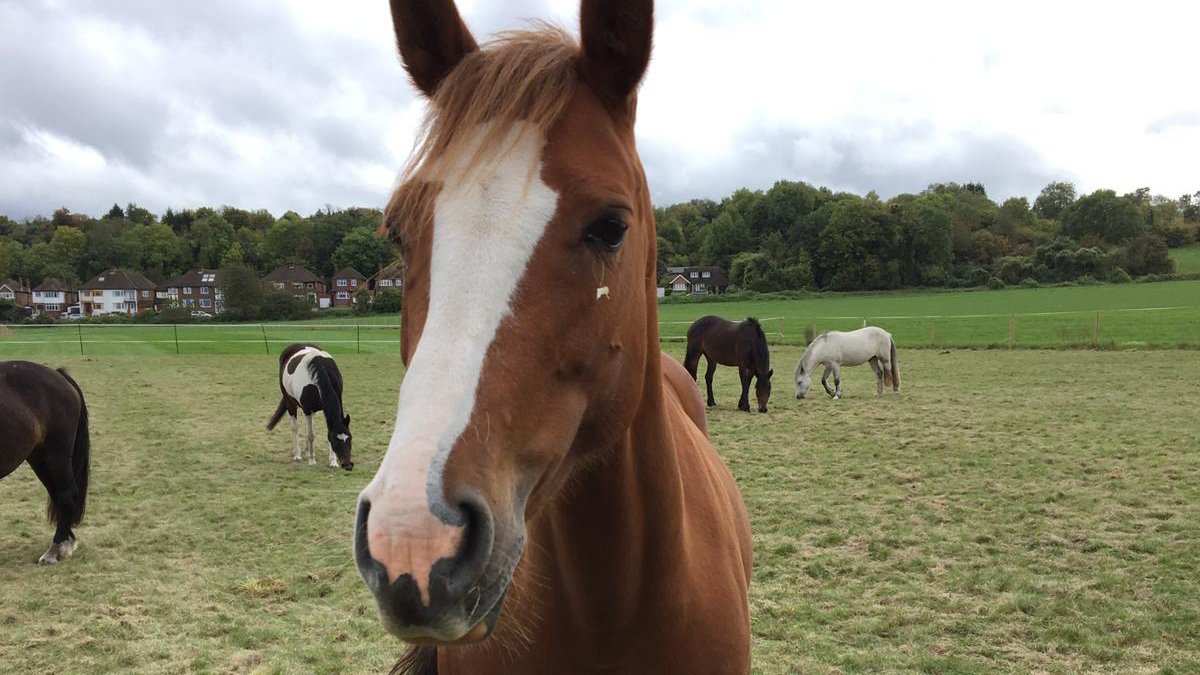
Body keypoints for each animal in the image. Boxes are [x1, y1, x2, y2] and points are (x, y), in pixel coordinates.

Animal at [0, 362, 90, 562]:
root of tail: (59, 376)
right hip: (39, 458)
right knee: (57, 495)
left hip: (56, 455)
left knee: (66, 495)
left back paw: (55, 550)